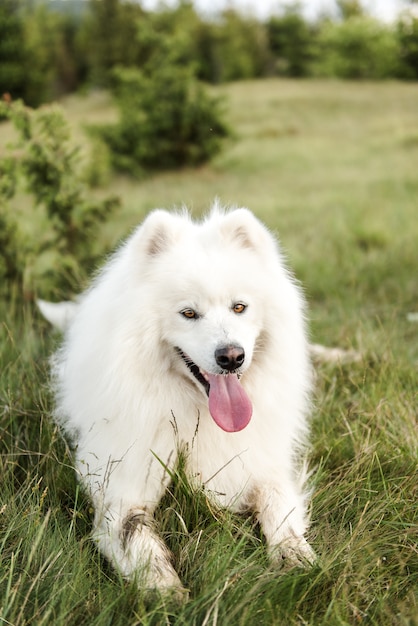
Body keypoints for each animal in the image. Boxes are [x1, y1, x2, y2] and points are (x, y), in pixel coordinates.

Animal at [39, 205, 316, 596]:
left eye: (239, 307)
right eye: (188, 313)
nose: (232, 357)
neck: (197, 413)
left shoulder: (263, 464)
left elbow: (278, 506)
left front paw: (295, 556)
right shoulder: (122, 486)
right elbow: (137, 536)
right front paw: (166, 592)